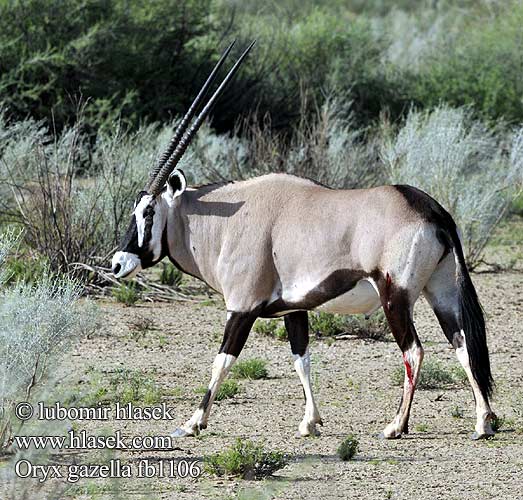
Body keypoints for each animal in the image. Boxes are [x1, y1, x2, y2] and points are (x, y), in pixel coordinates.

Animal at [111, 43, 496, 442]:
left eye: (148, 212)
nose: (118, 263)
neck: (226, 221)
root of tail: (432, 210)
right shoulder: (293, 309)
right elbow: (302, 359)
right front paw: (310, 422)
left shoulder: (242, 308)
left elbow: (222, 361)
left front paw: (194, 422)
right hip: (440, 290)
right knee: (463, 344)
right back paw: (483, 422)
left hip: (396, 296)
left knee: (415, 351)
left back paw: (396, 425)